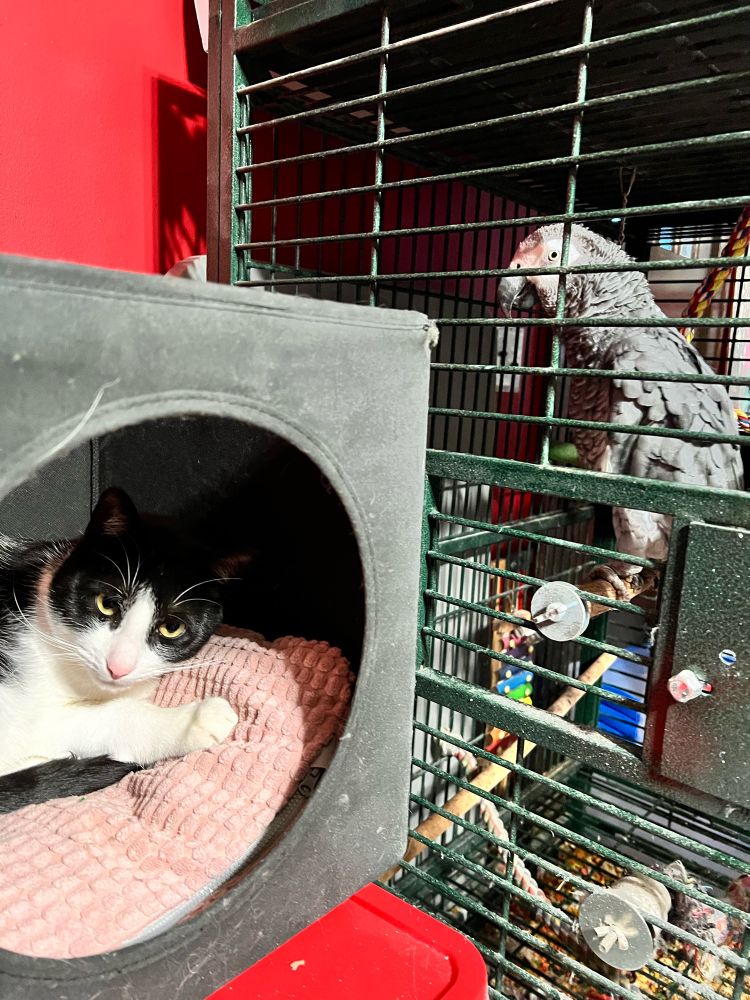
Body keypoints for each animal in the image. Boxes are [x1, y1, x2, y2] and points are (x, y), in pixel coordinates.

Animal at [0, 487, 241, 813]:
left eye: (171, 627)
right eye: (106, 604)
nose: (118, 666)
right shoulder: (33, 719)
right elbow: (112, 716)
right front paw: (193, 719)